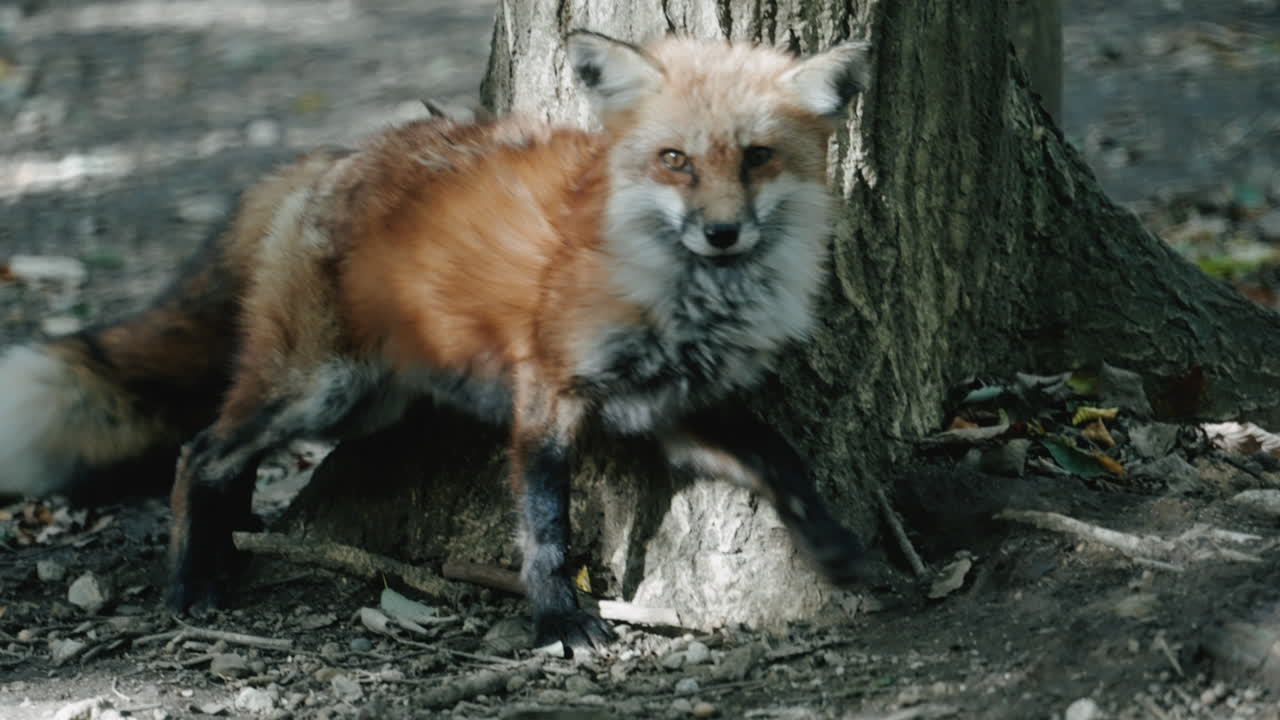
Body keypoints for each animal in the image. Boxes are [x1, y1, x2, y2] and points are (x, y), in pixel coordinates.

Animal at [0, 30, 875, 651]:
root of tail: (331, 158)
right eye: (676, 161)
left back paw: (229, 555)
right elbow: (546, 530)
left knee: (228, 458)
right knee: (198, 453)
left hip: (361, 405)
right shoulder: (547, 393)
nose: (722, 234)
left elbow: (782, 462)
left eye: (757, 157)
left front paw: (837, 547)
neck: (686, 294)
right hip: (321, 388)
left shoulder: (674, 408)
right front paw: (558, 622)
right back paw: (188, 583)